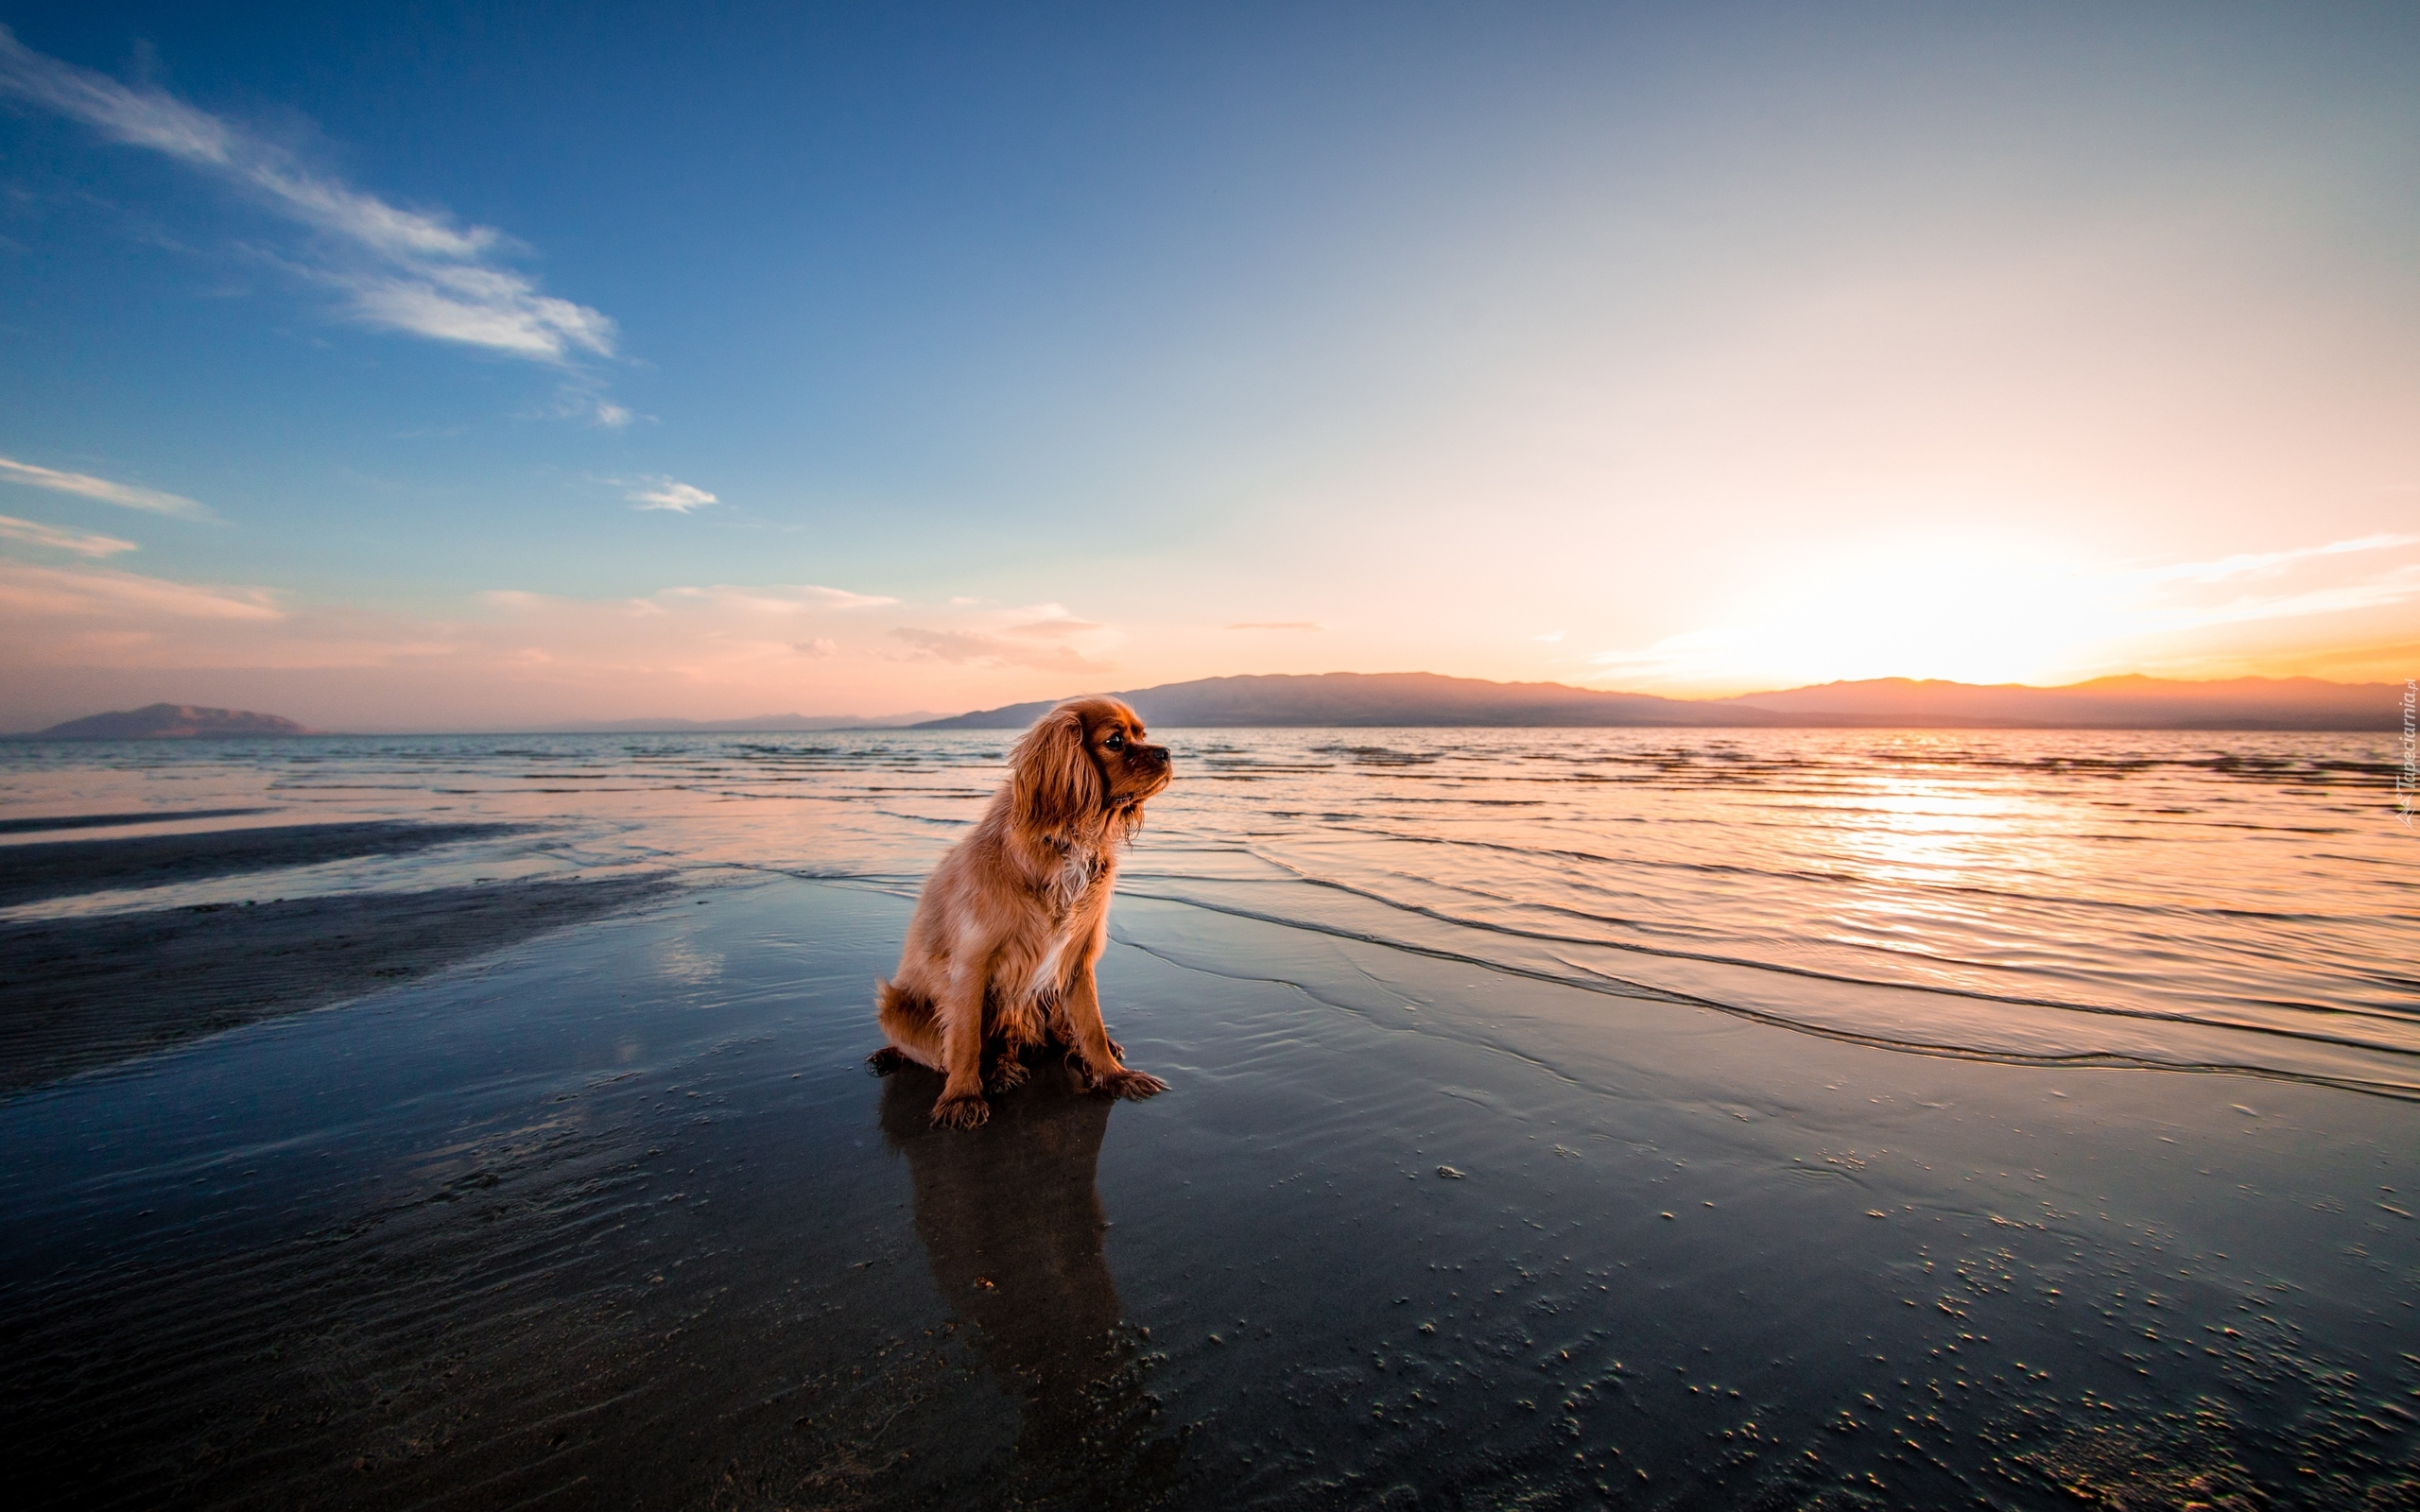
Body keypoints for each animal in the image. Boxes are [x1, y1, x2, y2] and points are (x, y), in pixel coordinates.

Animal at [871, 696, 1171, 1122]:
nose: (1166, 752)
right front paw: (962, 1096)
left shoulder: (1076, 959)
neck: (1067, 842)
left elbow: (1091, 1026)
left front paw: (1114, 1075)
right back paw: (994, 1071)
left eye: (1142, 735)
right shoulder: (972, 963)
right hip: (895, 1008)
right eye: (1115, 740)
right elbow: (965, 1039)